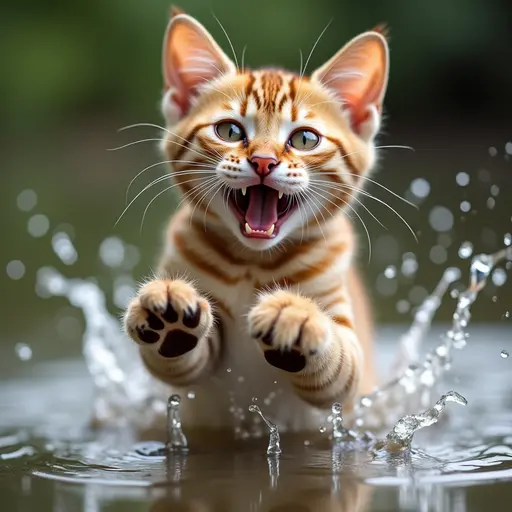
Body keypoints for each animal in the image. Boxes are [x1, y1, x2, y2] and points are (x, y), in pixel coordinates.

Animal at [124, 9, 388, 432]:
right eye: (229, 130)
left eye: (305, 139)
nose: (263, 161)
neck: (252, 263)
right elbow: (179, 364)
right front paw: (169, 319)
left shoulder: (348, 372)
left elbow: (339, 367)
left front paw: (295, 316)